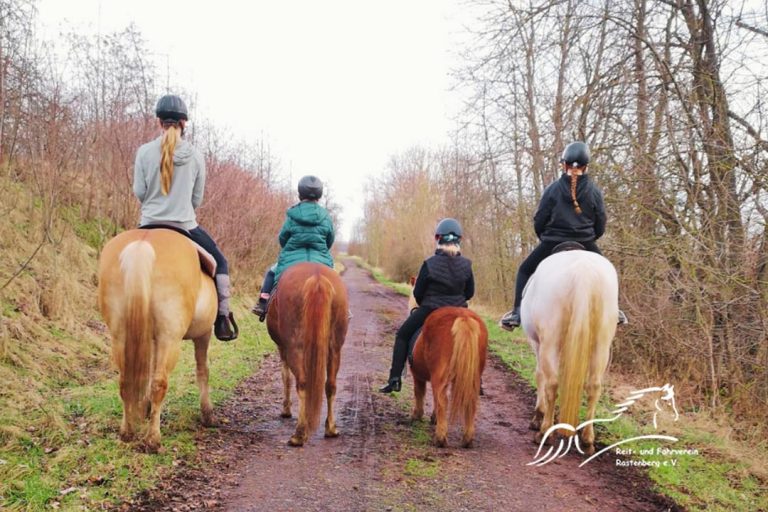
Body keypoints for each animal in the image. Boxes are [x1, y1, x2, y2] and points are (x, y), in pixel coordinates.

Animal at [97, 228, 218, 453]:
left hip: (120, 336)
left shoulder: (151, 340)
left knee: (125, 382)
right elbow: (202, 371)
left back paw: (127, 432)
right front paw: (207, 414)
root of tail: (142, 243)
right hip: (170, 339)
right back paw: (153, 440)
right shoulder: (203, 334)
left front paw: (144, 407)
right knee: (159, 383)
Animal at [266, 262, 349, 446]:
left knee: (302, 383)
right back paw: (331, 429)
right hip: (335, 348)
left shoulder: (282, 348)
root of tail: (317, 278)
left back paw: (299, 434)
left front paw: (286, 410)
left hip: (294, 347)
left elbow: (285, 377)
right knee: (331, 385)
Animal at [408, 301, 488, 448]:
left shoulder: (418, 376)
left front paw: (417, 415)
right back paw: (467, 439)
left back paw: (440, 438)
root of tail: (463, 317)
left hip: (439, 376)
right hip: (472, 378)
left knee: (441, 399)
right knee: (470, 401)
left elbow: (419, 393)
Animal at [521, 249, 619, 455]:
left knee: (552, 383)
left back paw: (544, 433)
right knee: (594, 387)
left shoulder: (537, 343)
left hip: (550, 341)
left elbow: (539, 375)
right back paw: (587, 440)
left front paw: (538, 416)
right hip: (602, 345)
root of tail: (584, 271)